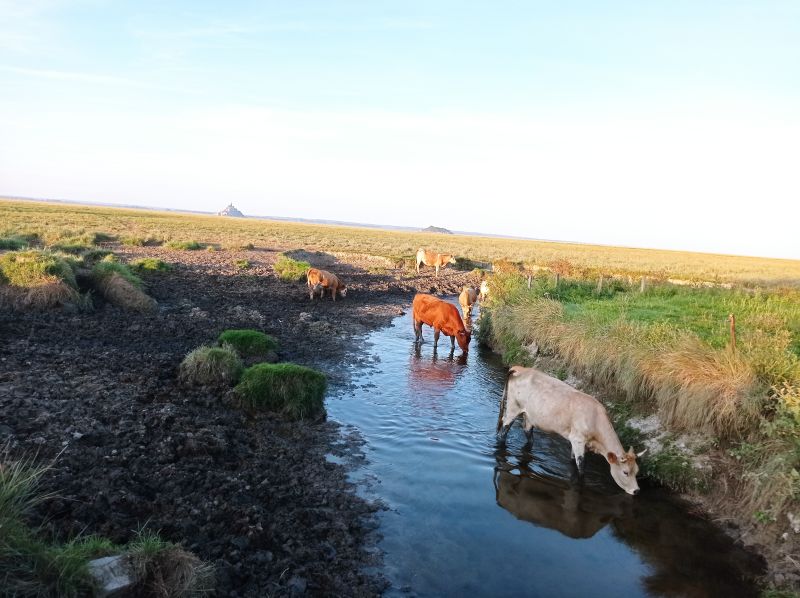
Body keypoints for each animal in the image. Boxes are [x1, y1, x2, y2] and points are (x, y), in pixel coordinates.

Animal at [496, 366, 648, 496]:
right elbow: (581, 467)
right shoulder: (578, 440)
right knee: (503, 431)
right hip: (513, 408)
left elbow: (572, 461)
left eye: (637, 471)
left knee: (527, 432)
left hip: (530, 416)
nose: (636, 491)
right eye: (625, 472)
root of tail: (519, 369)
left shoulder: (577, 441)